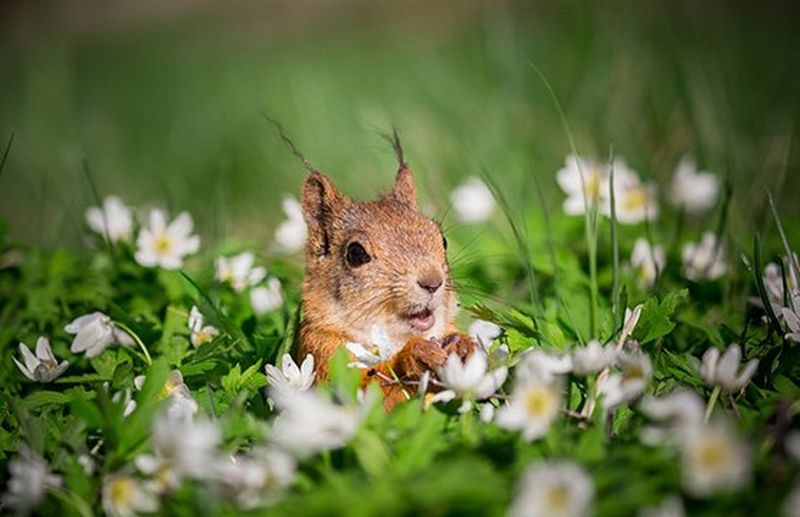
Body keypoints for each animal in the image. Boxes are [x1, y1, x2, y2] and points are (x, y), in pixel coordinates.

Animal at [298, 135, 476, 410]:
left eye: (443, 239)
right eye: (356, 253)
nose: (432, 282)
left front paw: (464, 345)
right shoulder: (322, 352)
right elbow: (370, 395)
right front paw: (415, 355)